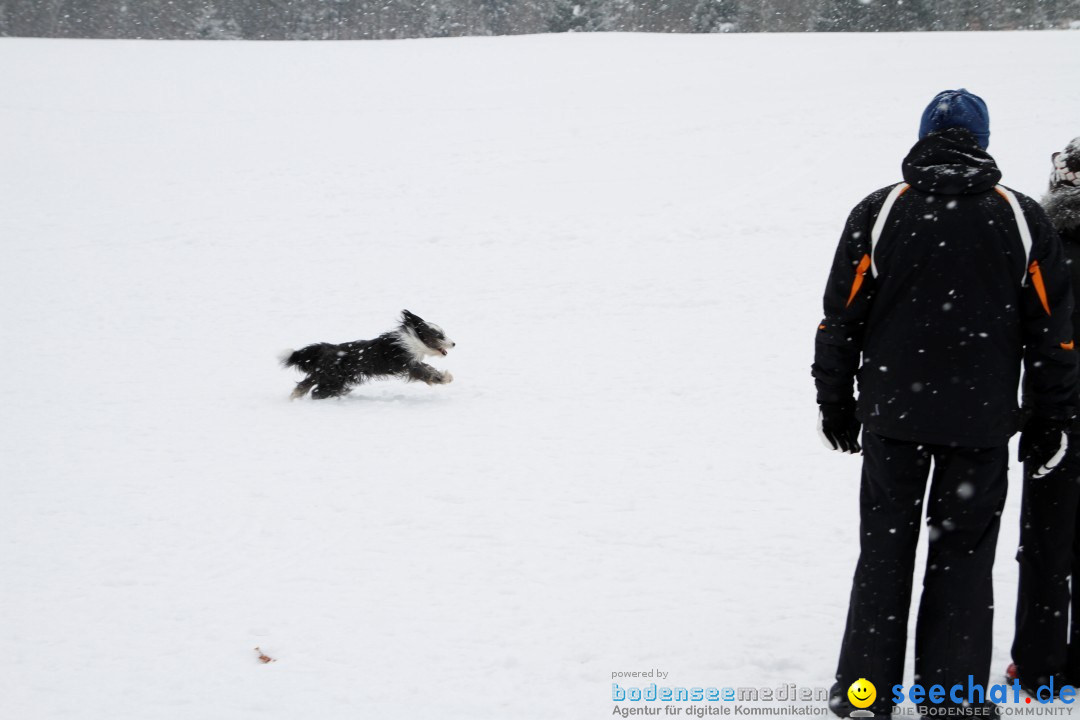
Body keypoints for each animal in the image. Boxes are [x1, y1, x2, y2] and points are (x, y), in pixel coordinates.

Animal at [280, 310, 453, 399]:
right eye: (439, 336)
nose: (454, 344)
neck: (412, 338)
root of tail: (326, 349)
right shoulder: (407, 364)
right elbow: (426, 372)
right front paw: (446, 378)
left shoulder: (411, 361)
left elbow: (428, 368)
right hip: (333, 379)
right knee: (317, 391)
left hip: (324, 374)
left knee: (305, 385)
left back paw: (293, 397)